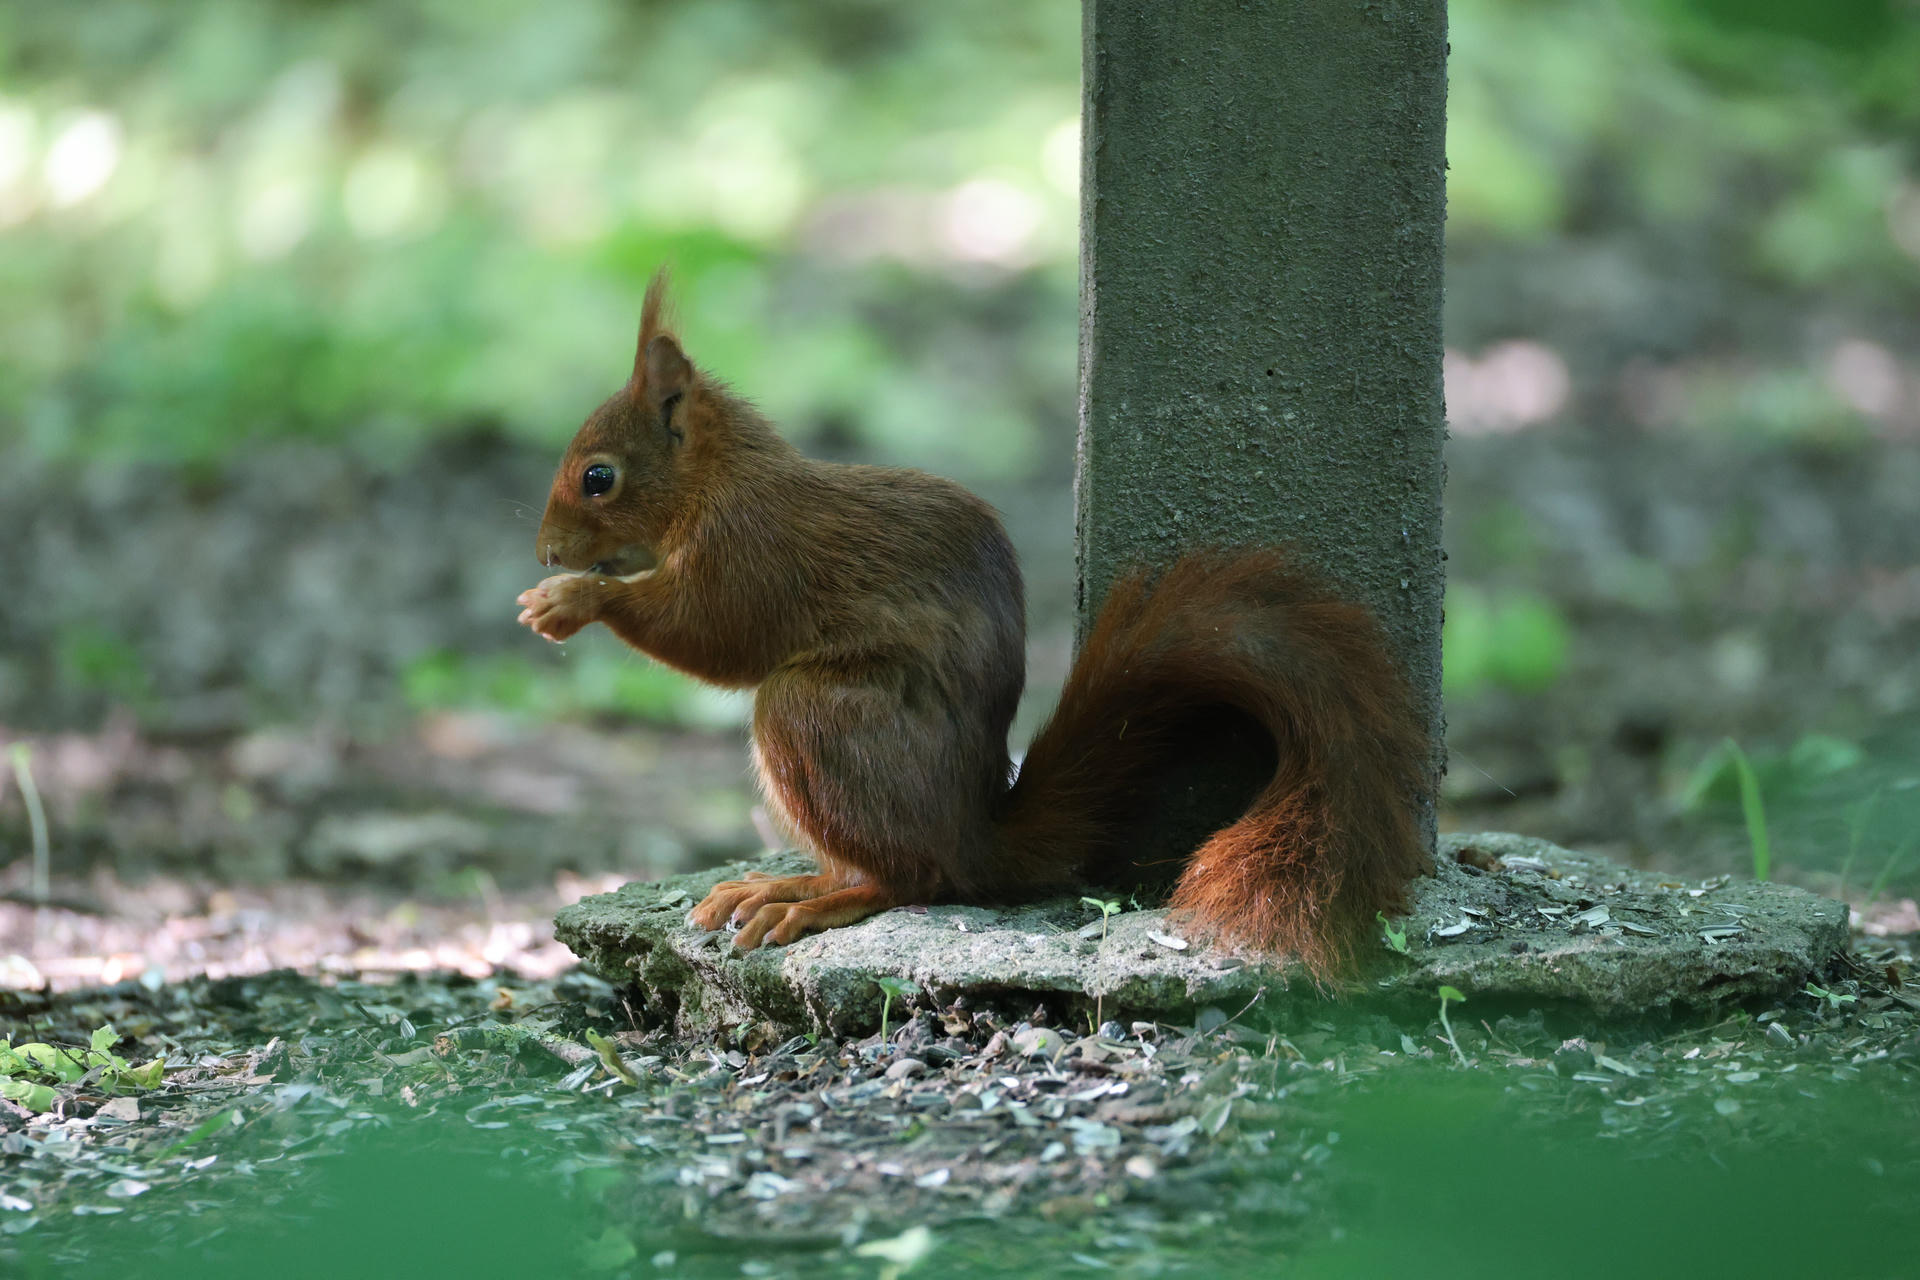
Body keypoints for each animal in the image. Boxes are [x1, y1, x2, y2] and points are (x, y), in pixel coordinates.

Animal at [517, 272, 1432, 980]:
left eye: (599, 477)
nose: (544, 550)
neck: (717, 480)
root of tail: (973, 834)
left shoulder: (752, 551)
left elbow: (710, 632)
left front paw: (572, 600)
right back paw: (783, 886)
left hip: (817, 713)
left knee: (914, 877)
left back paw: (816, 902)